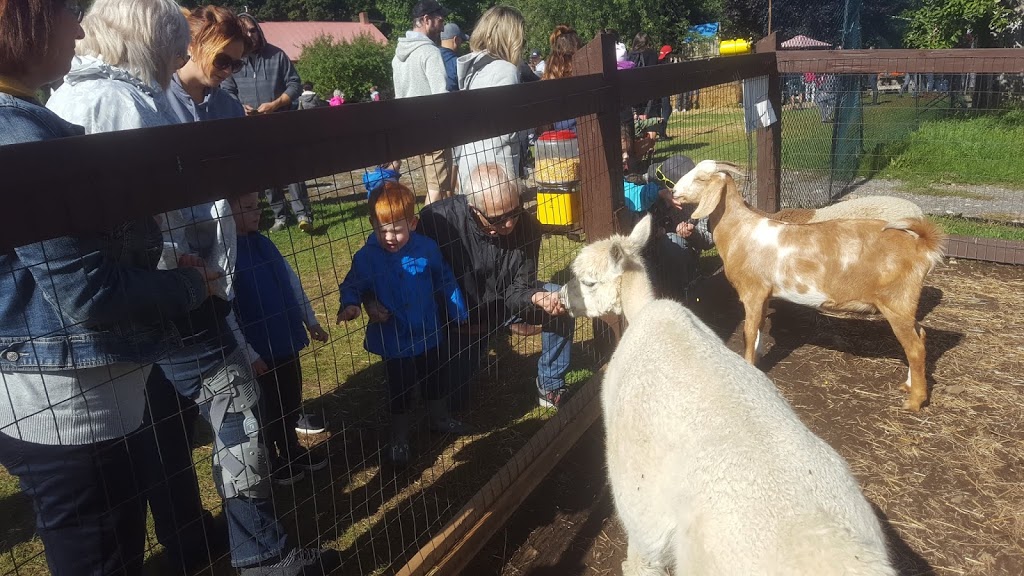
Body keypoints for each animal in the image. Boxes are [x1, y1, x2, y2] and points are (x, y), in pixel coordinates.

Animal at [671, 159, 942, 407]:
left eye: (701, 178)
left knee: (914, 348)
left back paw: (915, 401)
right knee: (921, 335)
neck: (740, 230)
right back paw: (908, 385)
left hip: (896, 302)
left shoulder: (753, 291)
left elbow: (749, 331)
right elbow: (759, 328)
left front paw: (749, 365)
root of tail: (921, 246)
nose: (673, 193)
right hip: (905, 304)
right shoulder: (765, 293)